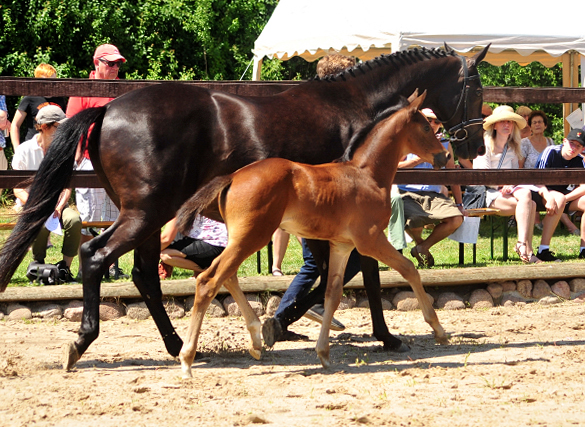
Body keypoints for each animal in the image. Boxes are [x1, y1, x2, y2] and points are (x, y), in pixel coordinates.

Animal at [0, 44, 486, 372]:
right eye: (476, 87)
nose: (474, 146)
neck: (355, 106)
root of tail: (108, 109)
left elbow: (337, 274)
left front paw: (284, 324)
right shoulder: (345, 220)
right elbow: (357, 271)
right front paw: (380, 335)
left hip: (151, 215)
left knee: (144, 274)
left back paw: (177, 345)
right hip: (143, 213)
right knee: (96, 255)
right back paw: (87, 340)